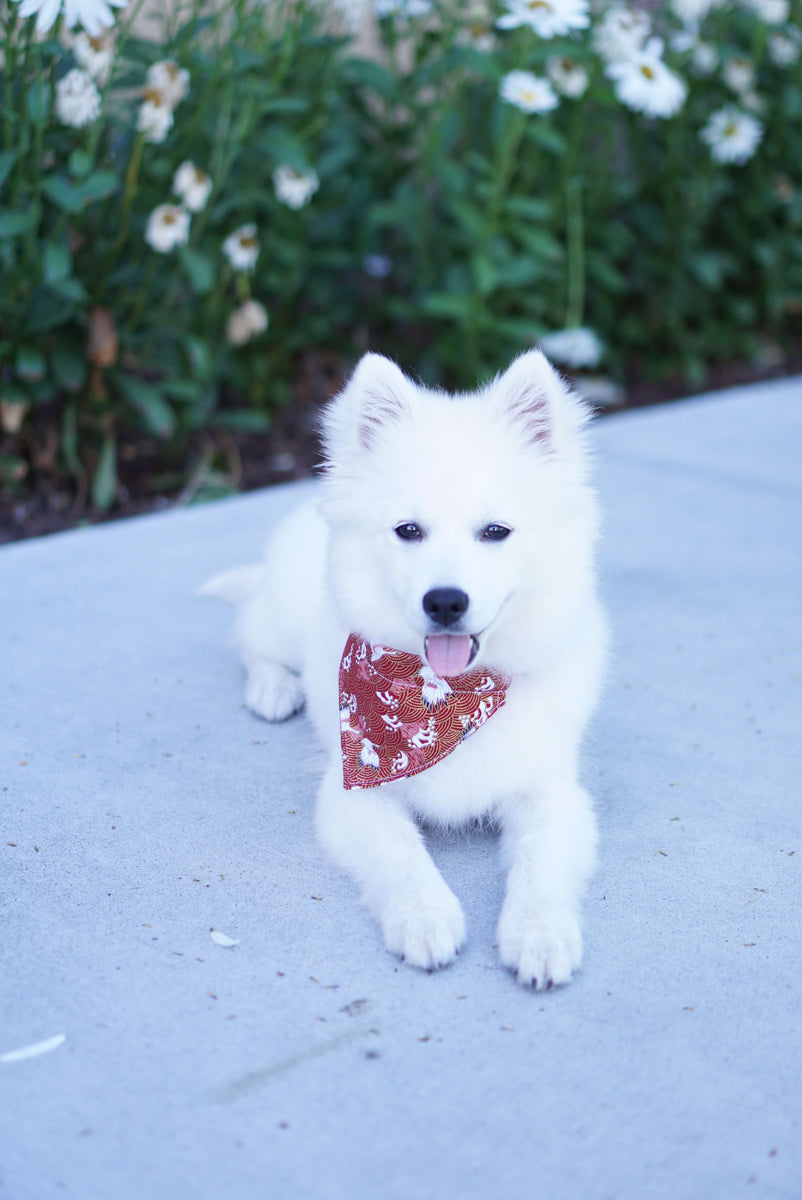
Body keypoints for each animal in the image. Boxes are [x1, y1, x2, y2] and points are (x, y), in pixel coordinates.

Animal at [201, 350, 607, 988]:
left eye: (496, 531)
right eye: (408, 530)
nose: (445, 602)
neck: (444, 697)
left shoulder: (552, 793)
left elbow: (539, 867)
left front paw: (540, 933)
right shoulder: (355, 794)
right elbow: (403, 857)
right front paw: (425, 919)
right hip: (282, 615)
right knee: (249, 632)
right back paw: (272, 686)